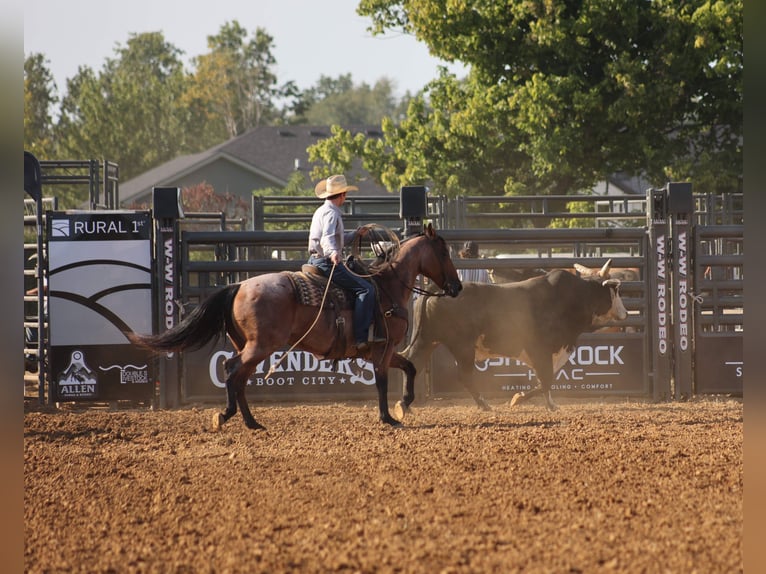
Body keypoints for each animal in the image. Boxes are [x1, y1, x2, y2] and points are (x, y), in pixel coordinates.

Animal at [126, 223, 462, 430]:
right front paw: (388, 416)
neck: (386, 287)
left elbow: (410, 368)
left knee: (239, 377)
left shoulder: (383, 351)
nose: (457, 287)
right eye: (444, 253)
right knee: (232, 371)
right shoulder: (383, 347)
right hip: (260, 346)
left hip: (251, 346)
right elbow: (382, 381)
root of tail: (239, 285)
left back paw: (252, 422)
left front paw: (404, 404)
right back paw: (226, 415)